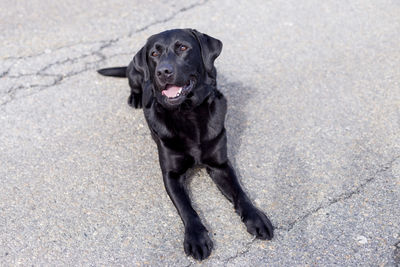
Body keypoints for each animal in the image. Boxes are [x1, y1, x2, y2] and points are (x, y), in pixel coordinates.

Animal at [97, 29, 272, 262]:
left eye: (182, 48)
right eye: (154, 54)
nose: (163, 71)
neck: (188, 112)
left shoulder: (220, 165)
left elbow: (240, 193)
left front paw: (256, 217)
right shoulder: (171, 175)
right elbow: (186, 207)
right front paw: (196, 238)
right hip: (134, 72)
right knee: (133, 84)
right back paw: (135, 98)